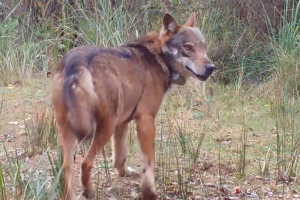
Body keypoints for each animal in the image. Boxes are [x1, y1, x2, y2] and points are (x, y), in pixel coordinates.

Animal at [52, 12, 216, 200]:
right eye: (188, 47)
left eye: (203, 46)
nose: (211, 67)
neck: (160, 58)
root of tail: (76, 61)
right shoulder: (145, 121)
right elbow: (149, 163)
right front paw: (150, 192)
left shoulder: (122, 124)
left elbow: (119, 159)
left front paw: (125, 173)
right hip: (103, 128)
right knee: (85, 163)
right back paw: (89, 191)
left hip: (70, 133)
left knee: (66, 169)